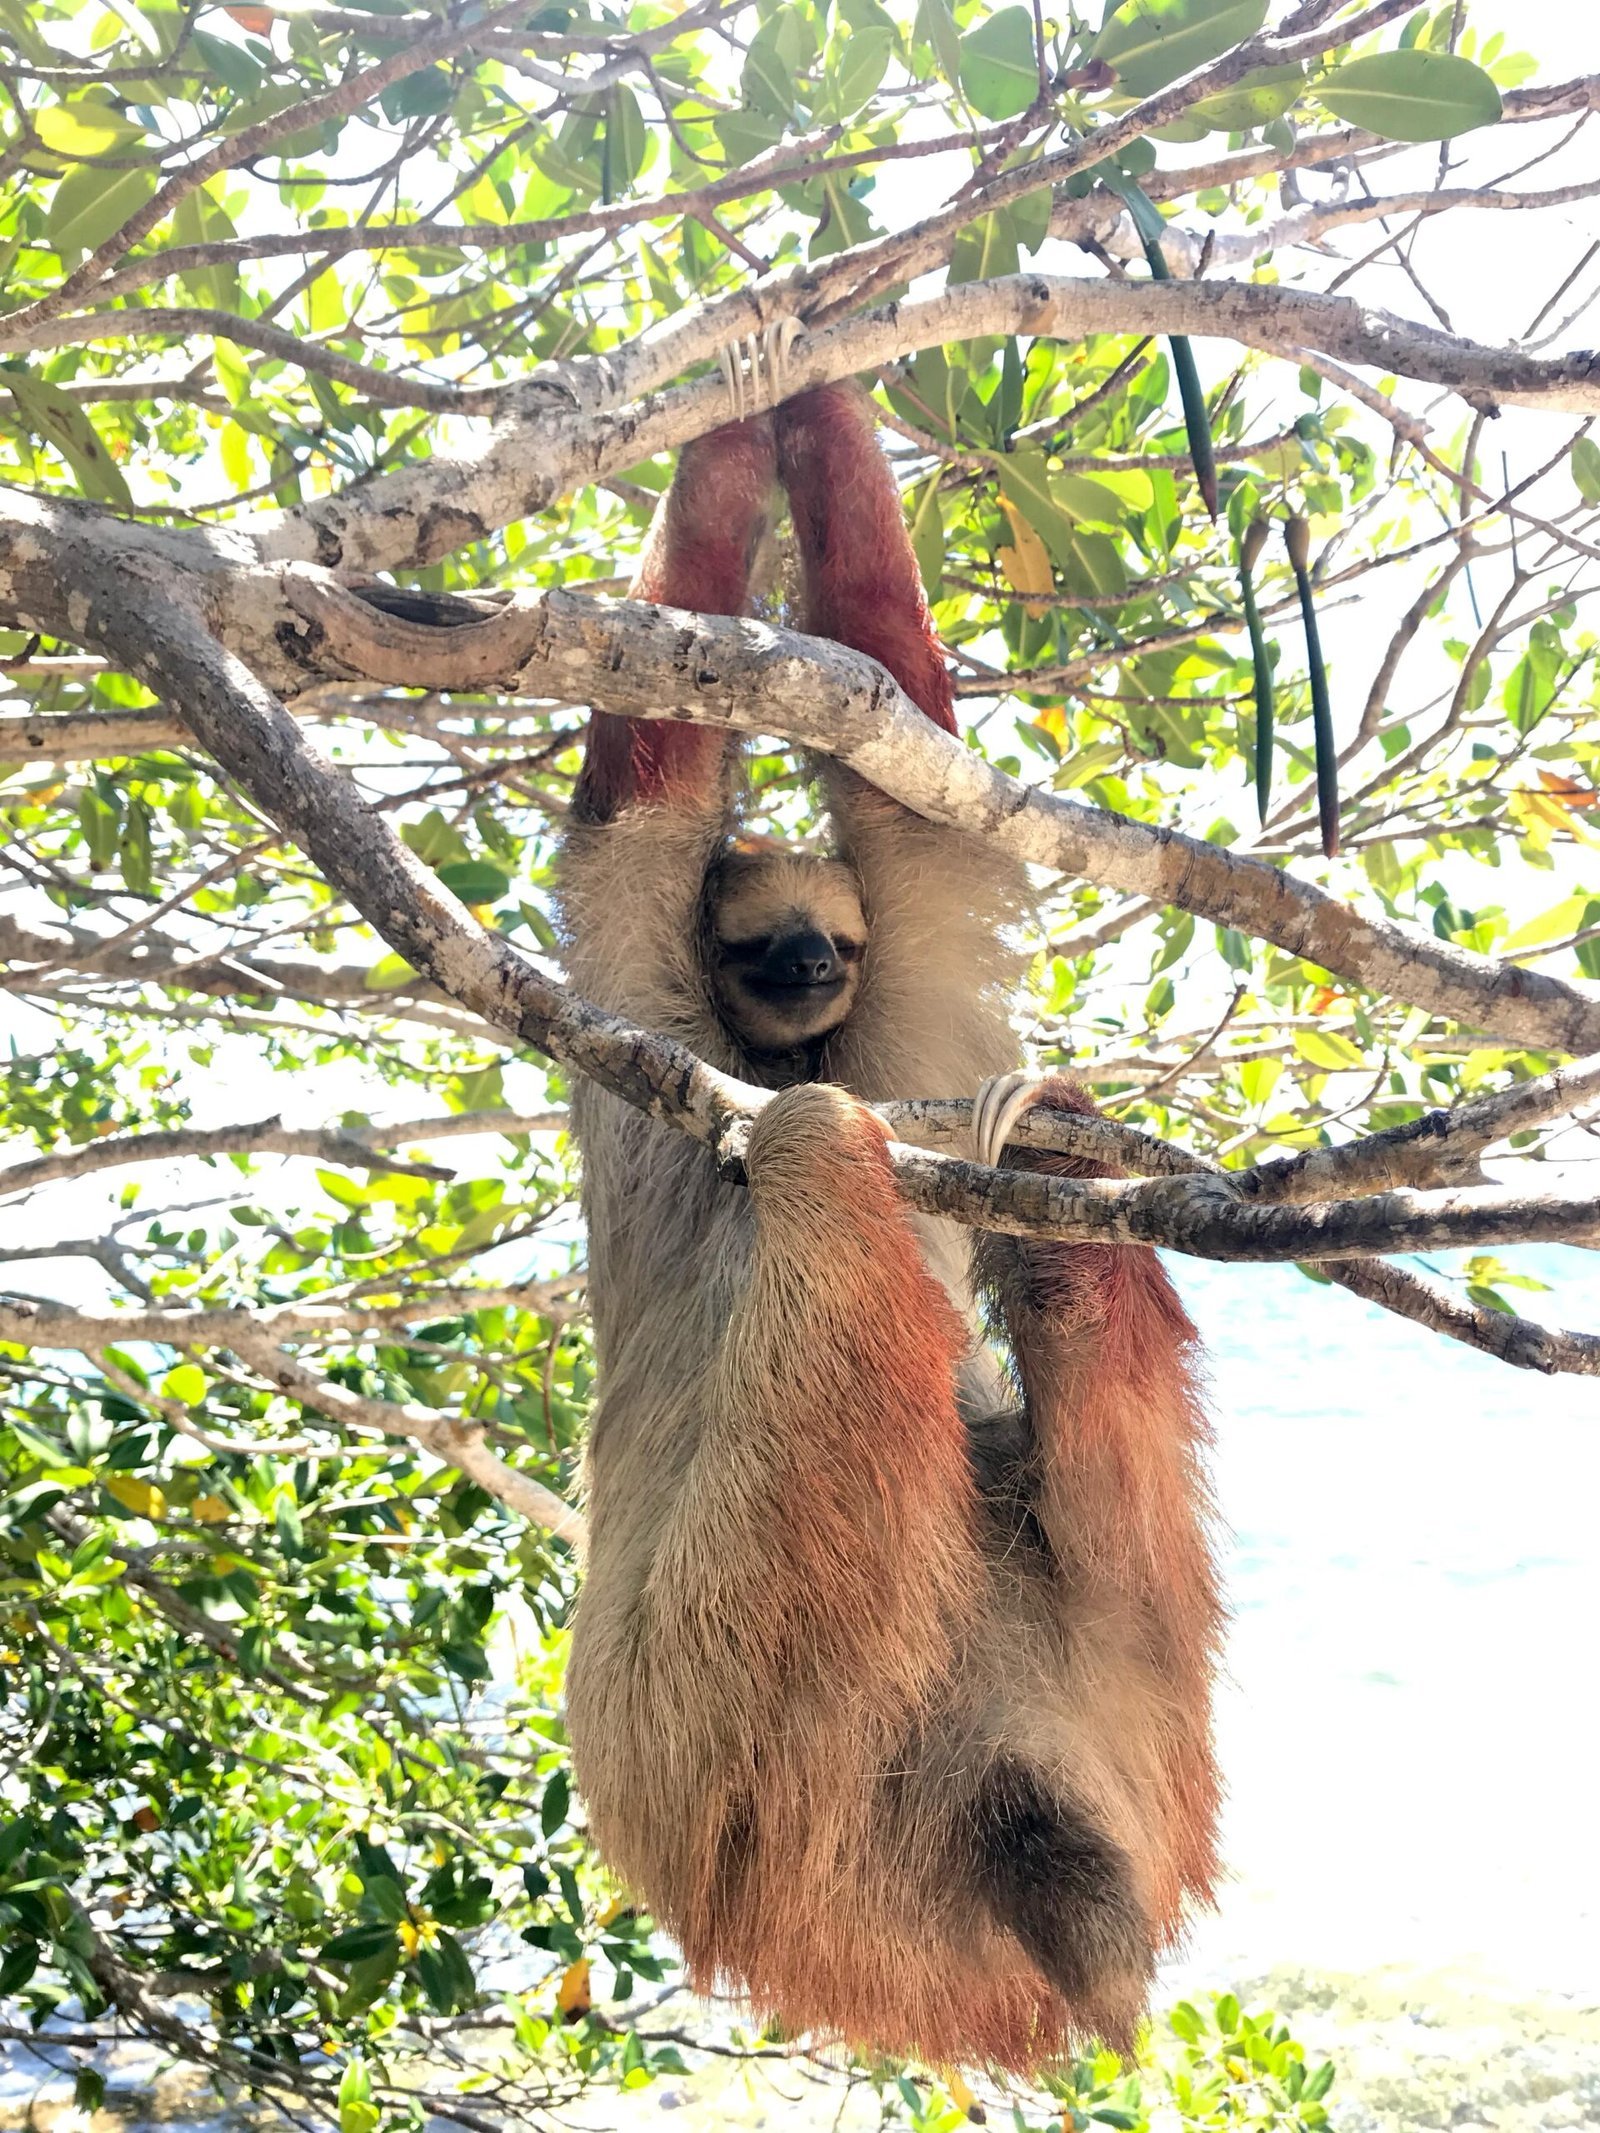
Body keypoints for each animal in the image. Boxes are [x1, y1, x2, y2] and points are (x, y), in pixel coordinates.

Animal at [556, 379, 1221, 2073]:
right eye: (760, 943)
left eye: (832, 942)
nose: (803, 970)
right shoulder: (639, 988)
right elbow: (651, 784)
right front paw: (756, 357)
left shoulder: (906, 966)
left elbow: (894, 745)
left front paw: (791, 377)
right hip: (713, 1735)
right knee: (821, 1277)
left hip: (1132, 1693)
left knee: (1108, 1490)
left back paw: (1048, 1188)